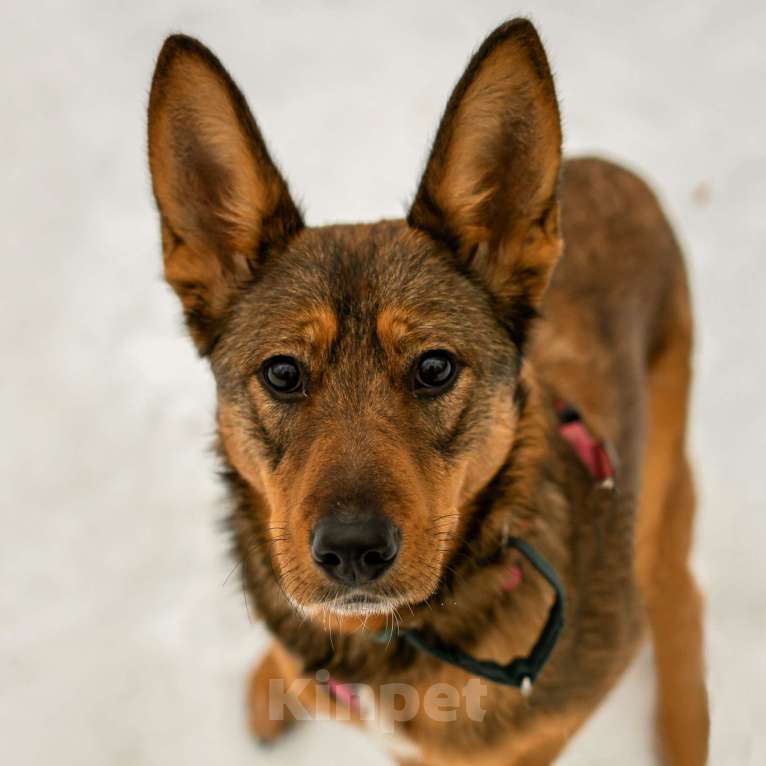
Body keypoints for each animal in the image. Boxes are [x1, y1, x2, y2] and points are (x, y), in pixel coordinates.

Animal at [147, 18, 712, 766]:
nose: (351, 552)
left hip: (661, 477)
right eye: (282, 373)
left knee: (680, 590)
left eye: (435, 367)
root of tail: (615, 169)